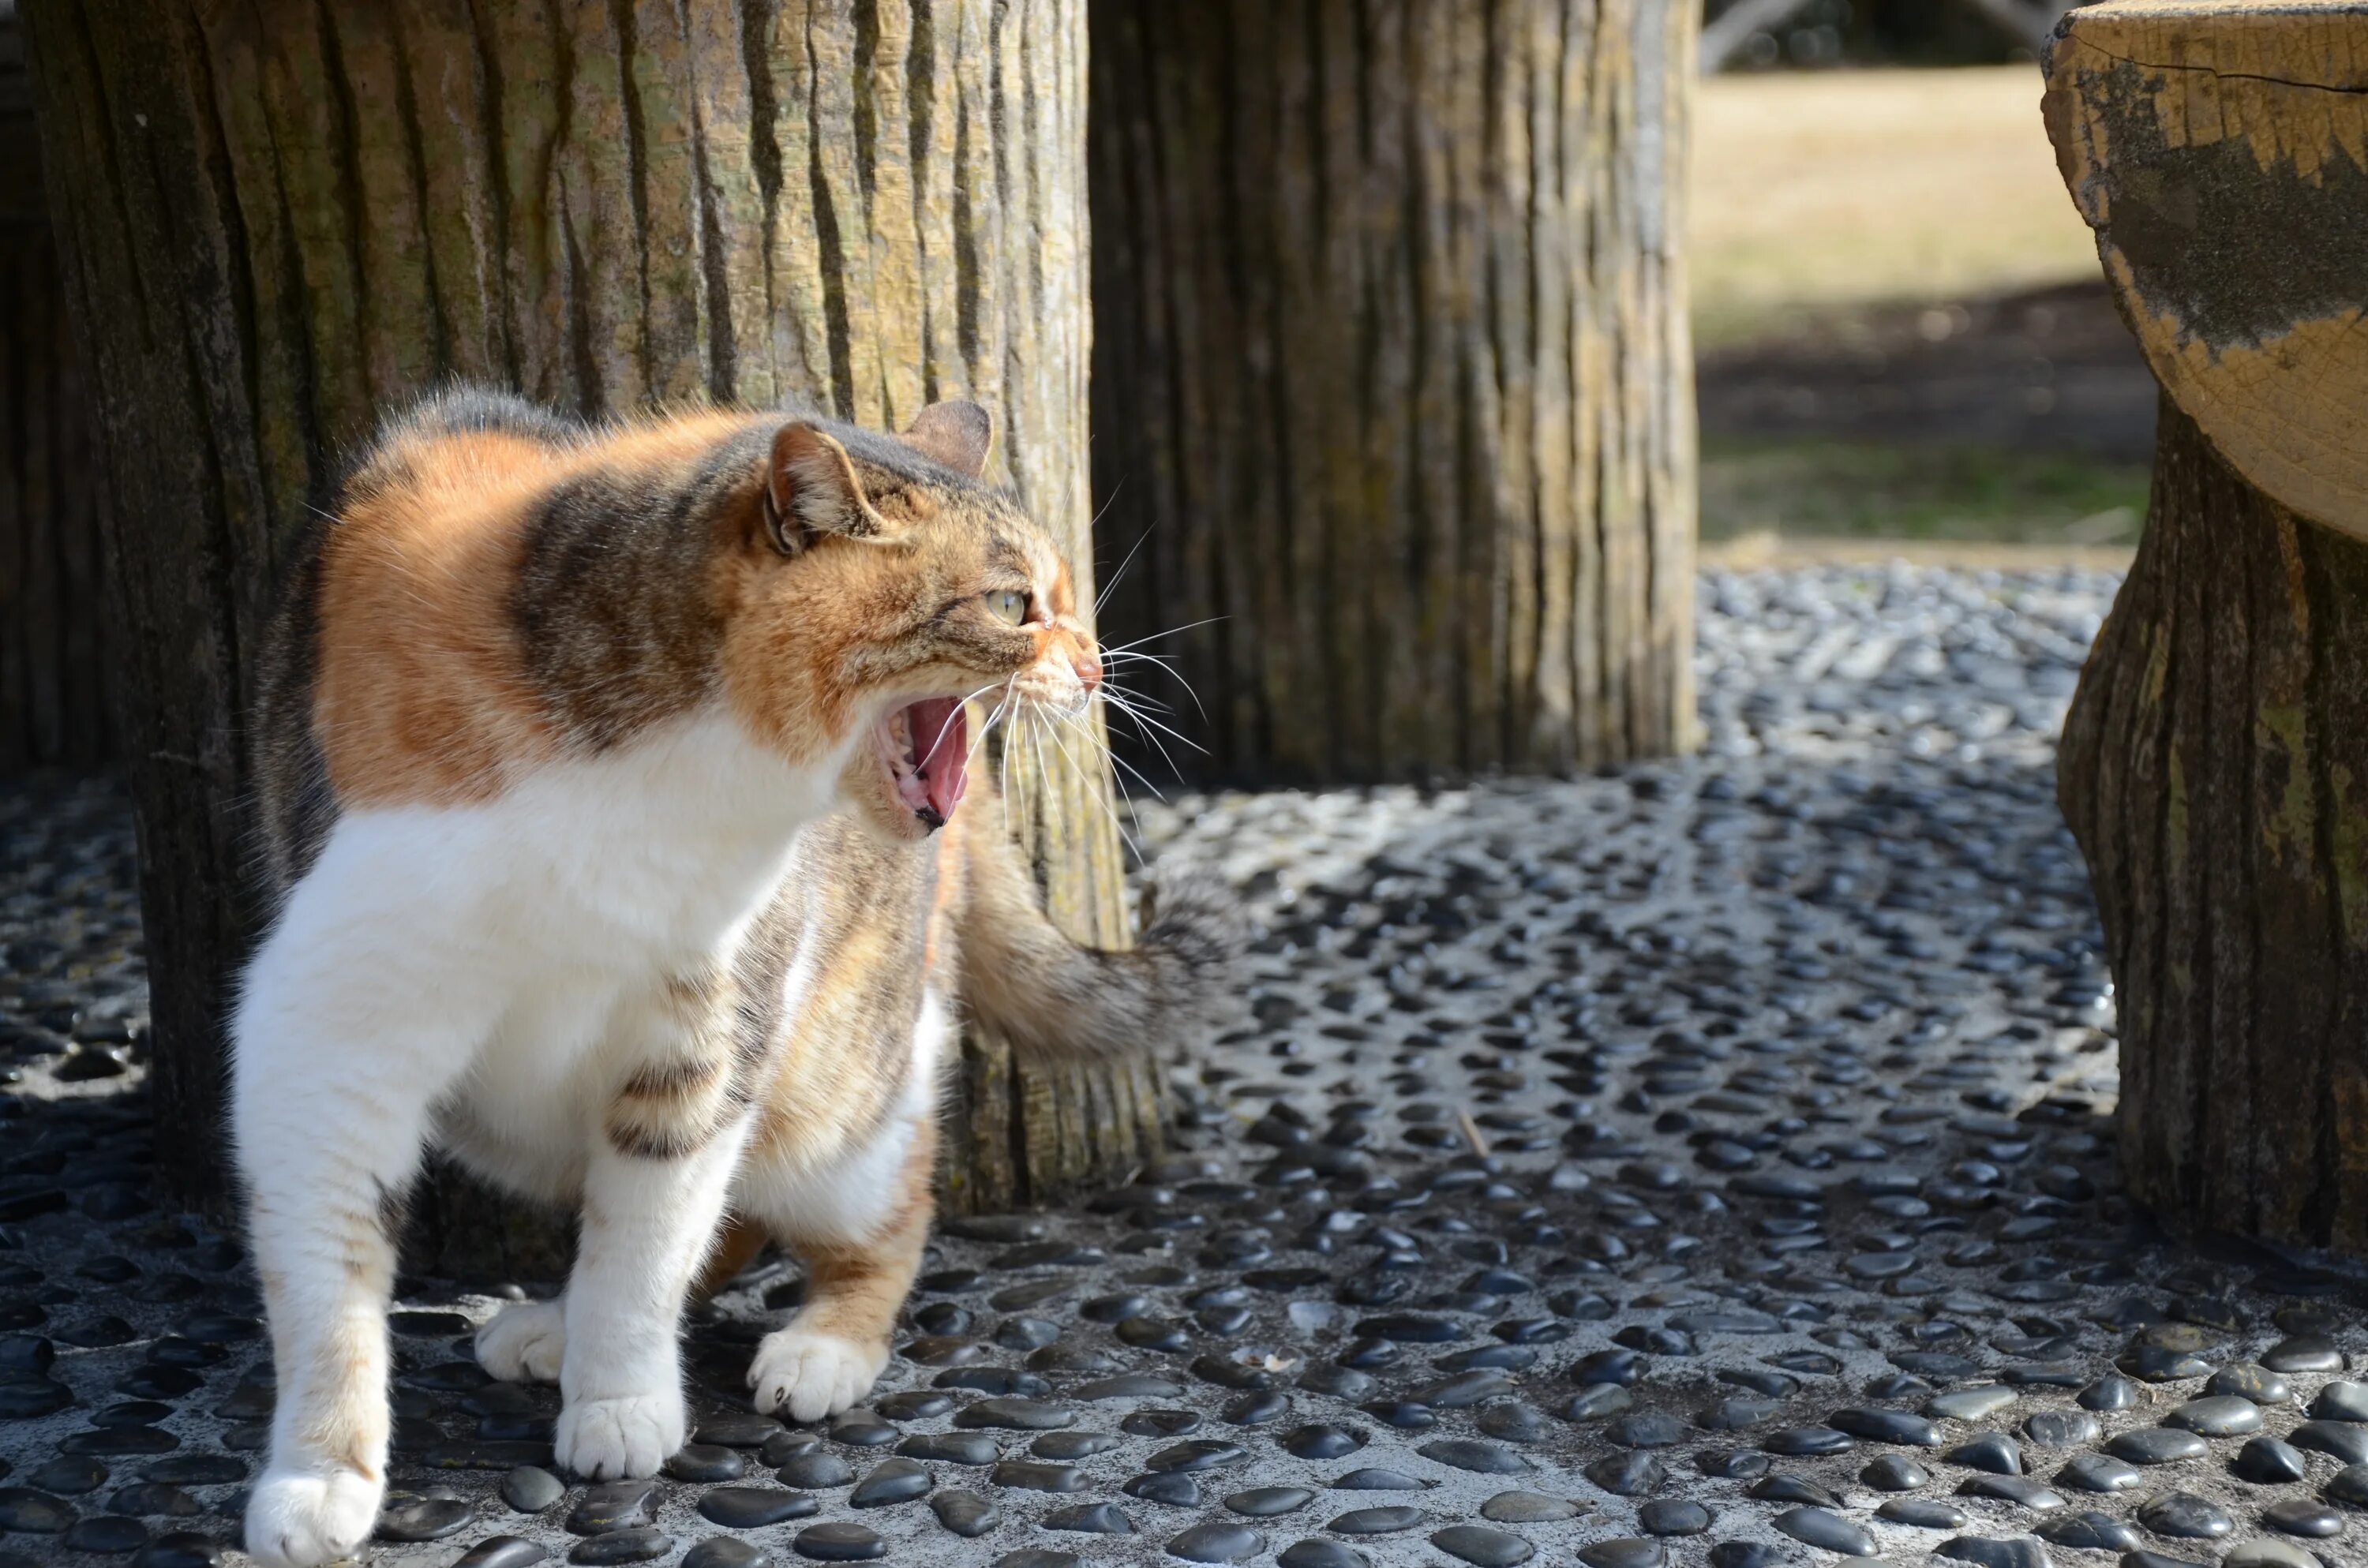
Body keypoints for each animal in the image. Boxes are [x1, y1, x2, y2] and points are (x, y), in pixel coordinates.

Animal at [238, 384, 1231, 1568]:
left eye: (1067, 600)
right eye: (1010, 602)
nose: (1093, 668)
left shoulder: (705, 1029)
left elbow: (647, 1241)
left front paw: (620, 1401)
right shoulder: (330, 1035)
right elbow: (328, 1277)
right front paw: (318, 1476)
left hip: (842, 1089)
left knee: (876, 1211)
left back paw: (818, 1346)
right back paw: (555, 1323)